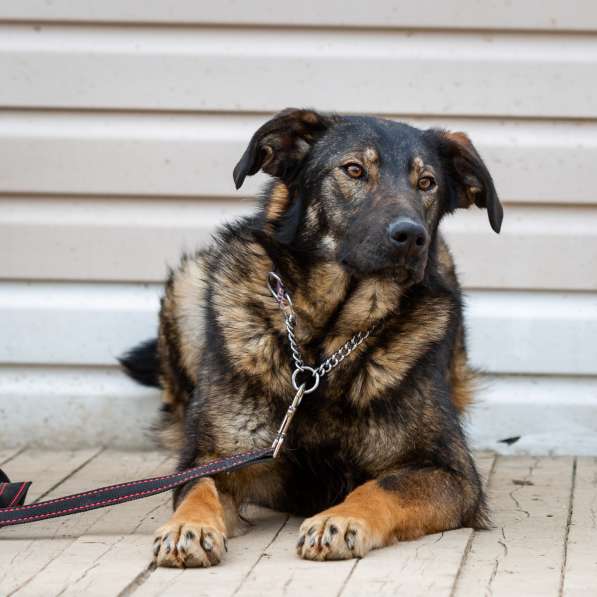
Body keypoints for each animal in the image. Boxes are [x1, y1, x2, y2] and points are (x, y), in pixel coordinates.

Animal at [120, 108, 498, 568]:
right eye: (353, 170)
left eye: (427, 183)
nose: (411, 237)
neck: (322, 348)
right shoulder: (213, 458)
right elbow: (198, 488)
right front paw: (186, 527)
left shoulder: (451, 473)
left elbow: (382, 486)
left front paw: (341, 519)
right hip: (189, 285)